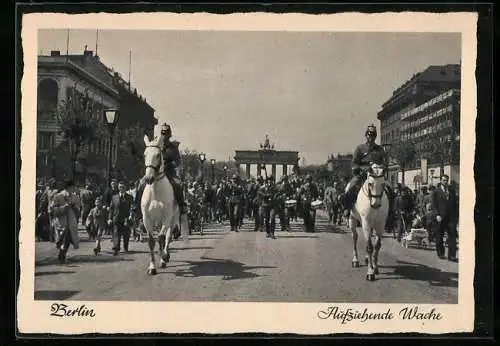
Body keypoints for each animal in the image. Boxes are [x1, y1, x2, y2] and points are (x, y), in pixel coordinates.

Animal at [143, 134, 189, 274]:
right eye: (144, 154)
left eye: (158, 155)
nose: (149, 178)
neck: (156, 192)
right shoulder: (147, 218)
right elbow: (151, 241)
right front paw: (152, 267)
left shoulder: (167, 217)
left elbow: (162, 237)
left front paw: (164, 257)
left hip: (173, 218)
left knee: (168, 236)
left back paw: (165, 256)